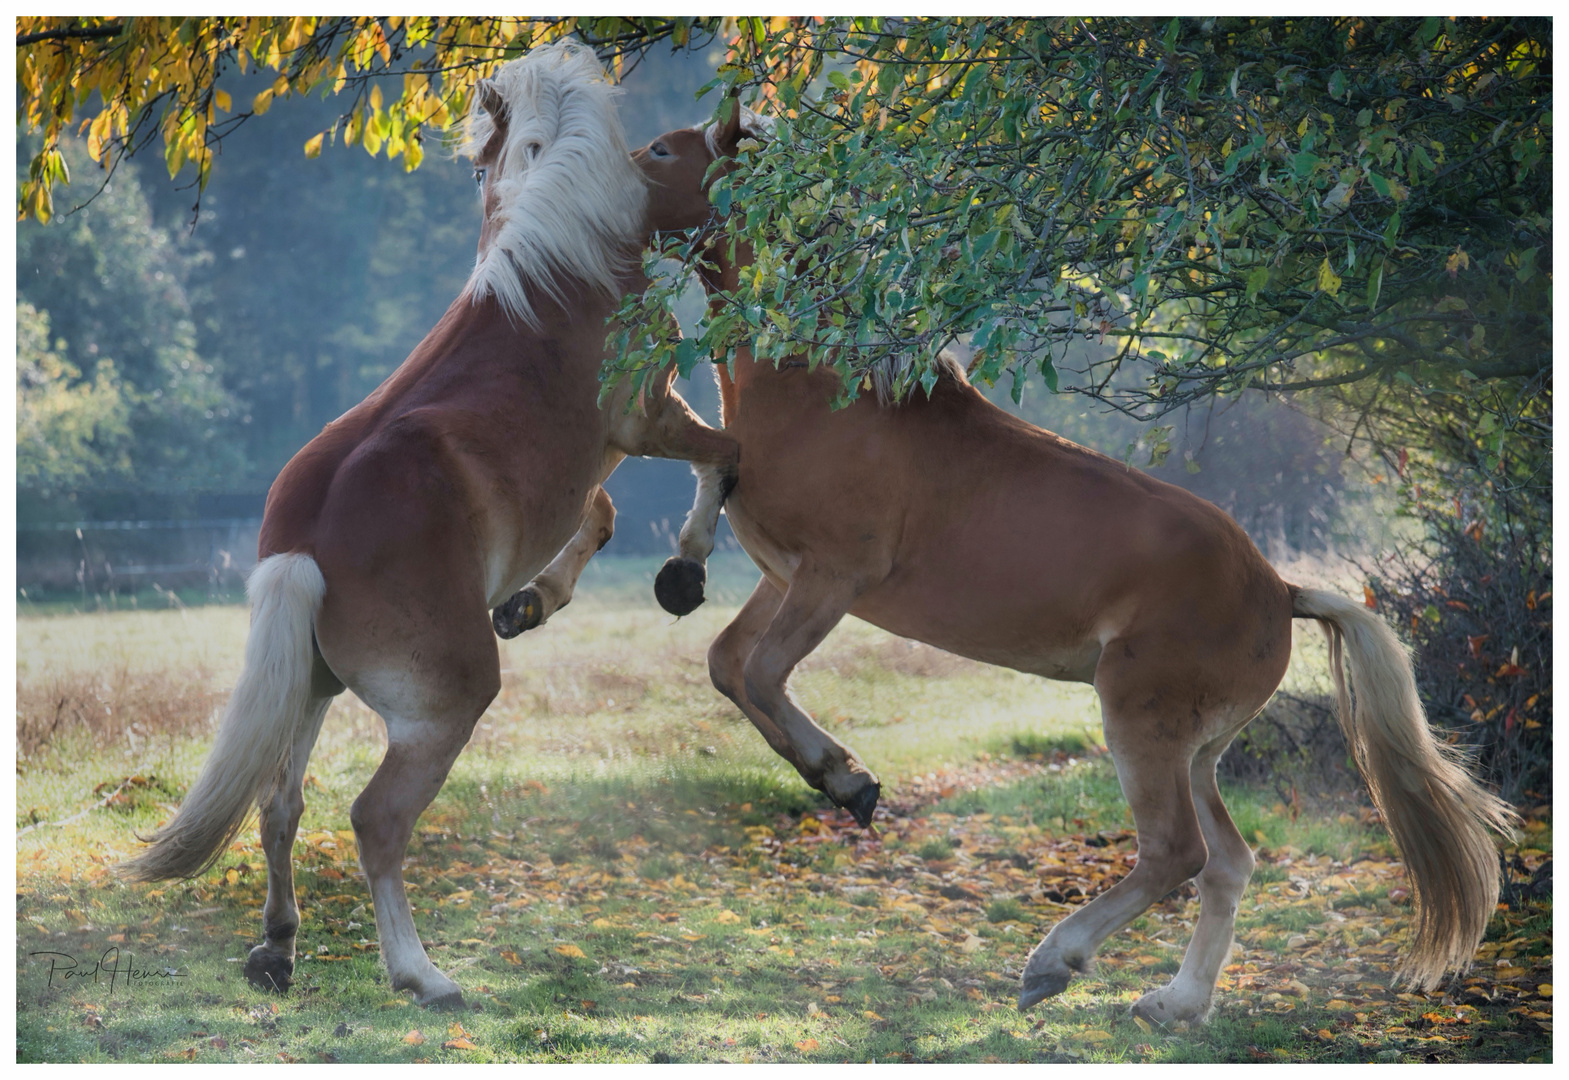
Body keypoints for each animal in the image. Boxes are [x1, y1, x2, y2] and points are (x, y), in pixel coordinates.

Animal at [120, 46, 734, 1010]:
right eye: (666, 153)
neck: (563, 266)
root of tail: (302, 550)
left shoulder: (588, 469)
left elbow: (599, 517)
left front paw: (531, 602)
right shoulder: (648, 419)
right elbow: (723, 457)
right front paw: (686, 571)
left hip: (310, 689)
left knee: (278, 806)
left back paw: (278, 949)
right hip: (441, 707)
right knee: (374, 821)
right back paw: (421, 973)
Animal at [633, 105, 1506, 1023]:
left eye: (660, 150)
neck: (827, 384)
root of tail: (1278, 589)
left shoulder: (831, 579)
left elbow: (762, 674)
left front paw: (847, 780)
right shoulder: (782, 576)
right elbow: (727, 665)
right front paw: (838, 779)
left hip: (1140, 725)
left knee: (1175, 854)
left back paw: (1055, 960)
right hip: (1196, 750)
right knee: (1227, 863)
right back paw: (1174, 1003)